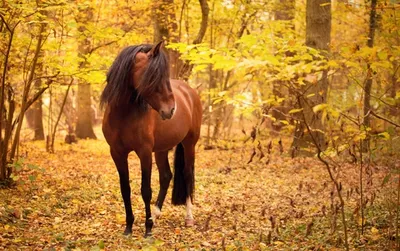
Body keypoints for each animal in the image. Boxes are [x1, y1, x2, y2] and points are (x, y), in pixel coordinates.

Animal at [99, 41, 202, 237]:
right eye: (153, 76)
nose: (171, 110)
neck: (123, 114)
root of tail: (190, 92)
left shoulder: (144, 152)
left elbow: (145, 190)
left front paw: (147, 230)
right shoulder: (117, 153)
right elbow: (125, 189)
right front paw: (129, 227)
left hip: (189, 144)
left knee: (187, 174)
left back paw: (188, 218)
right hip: (161, 149)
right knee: (166, 176)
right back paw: (155, 216)